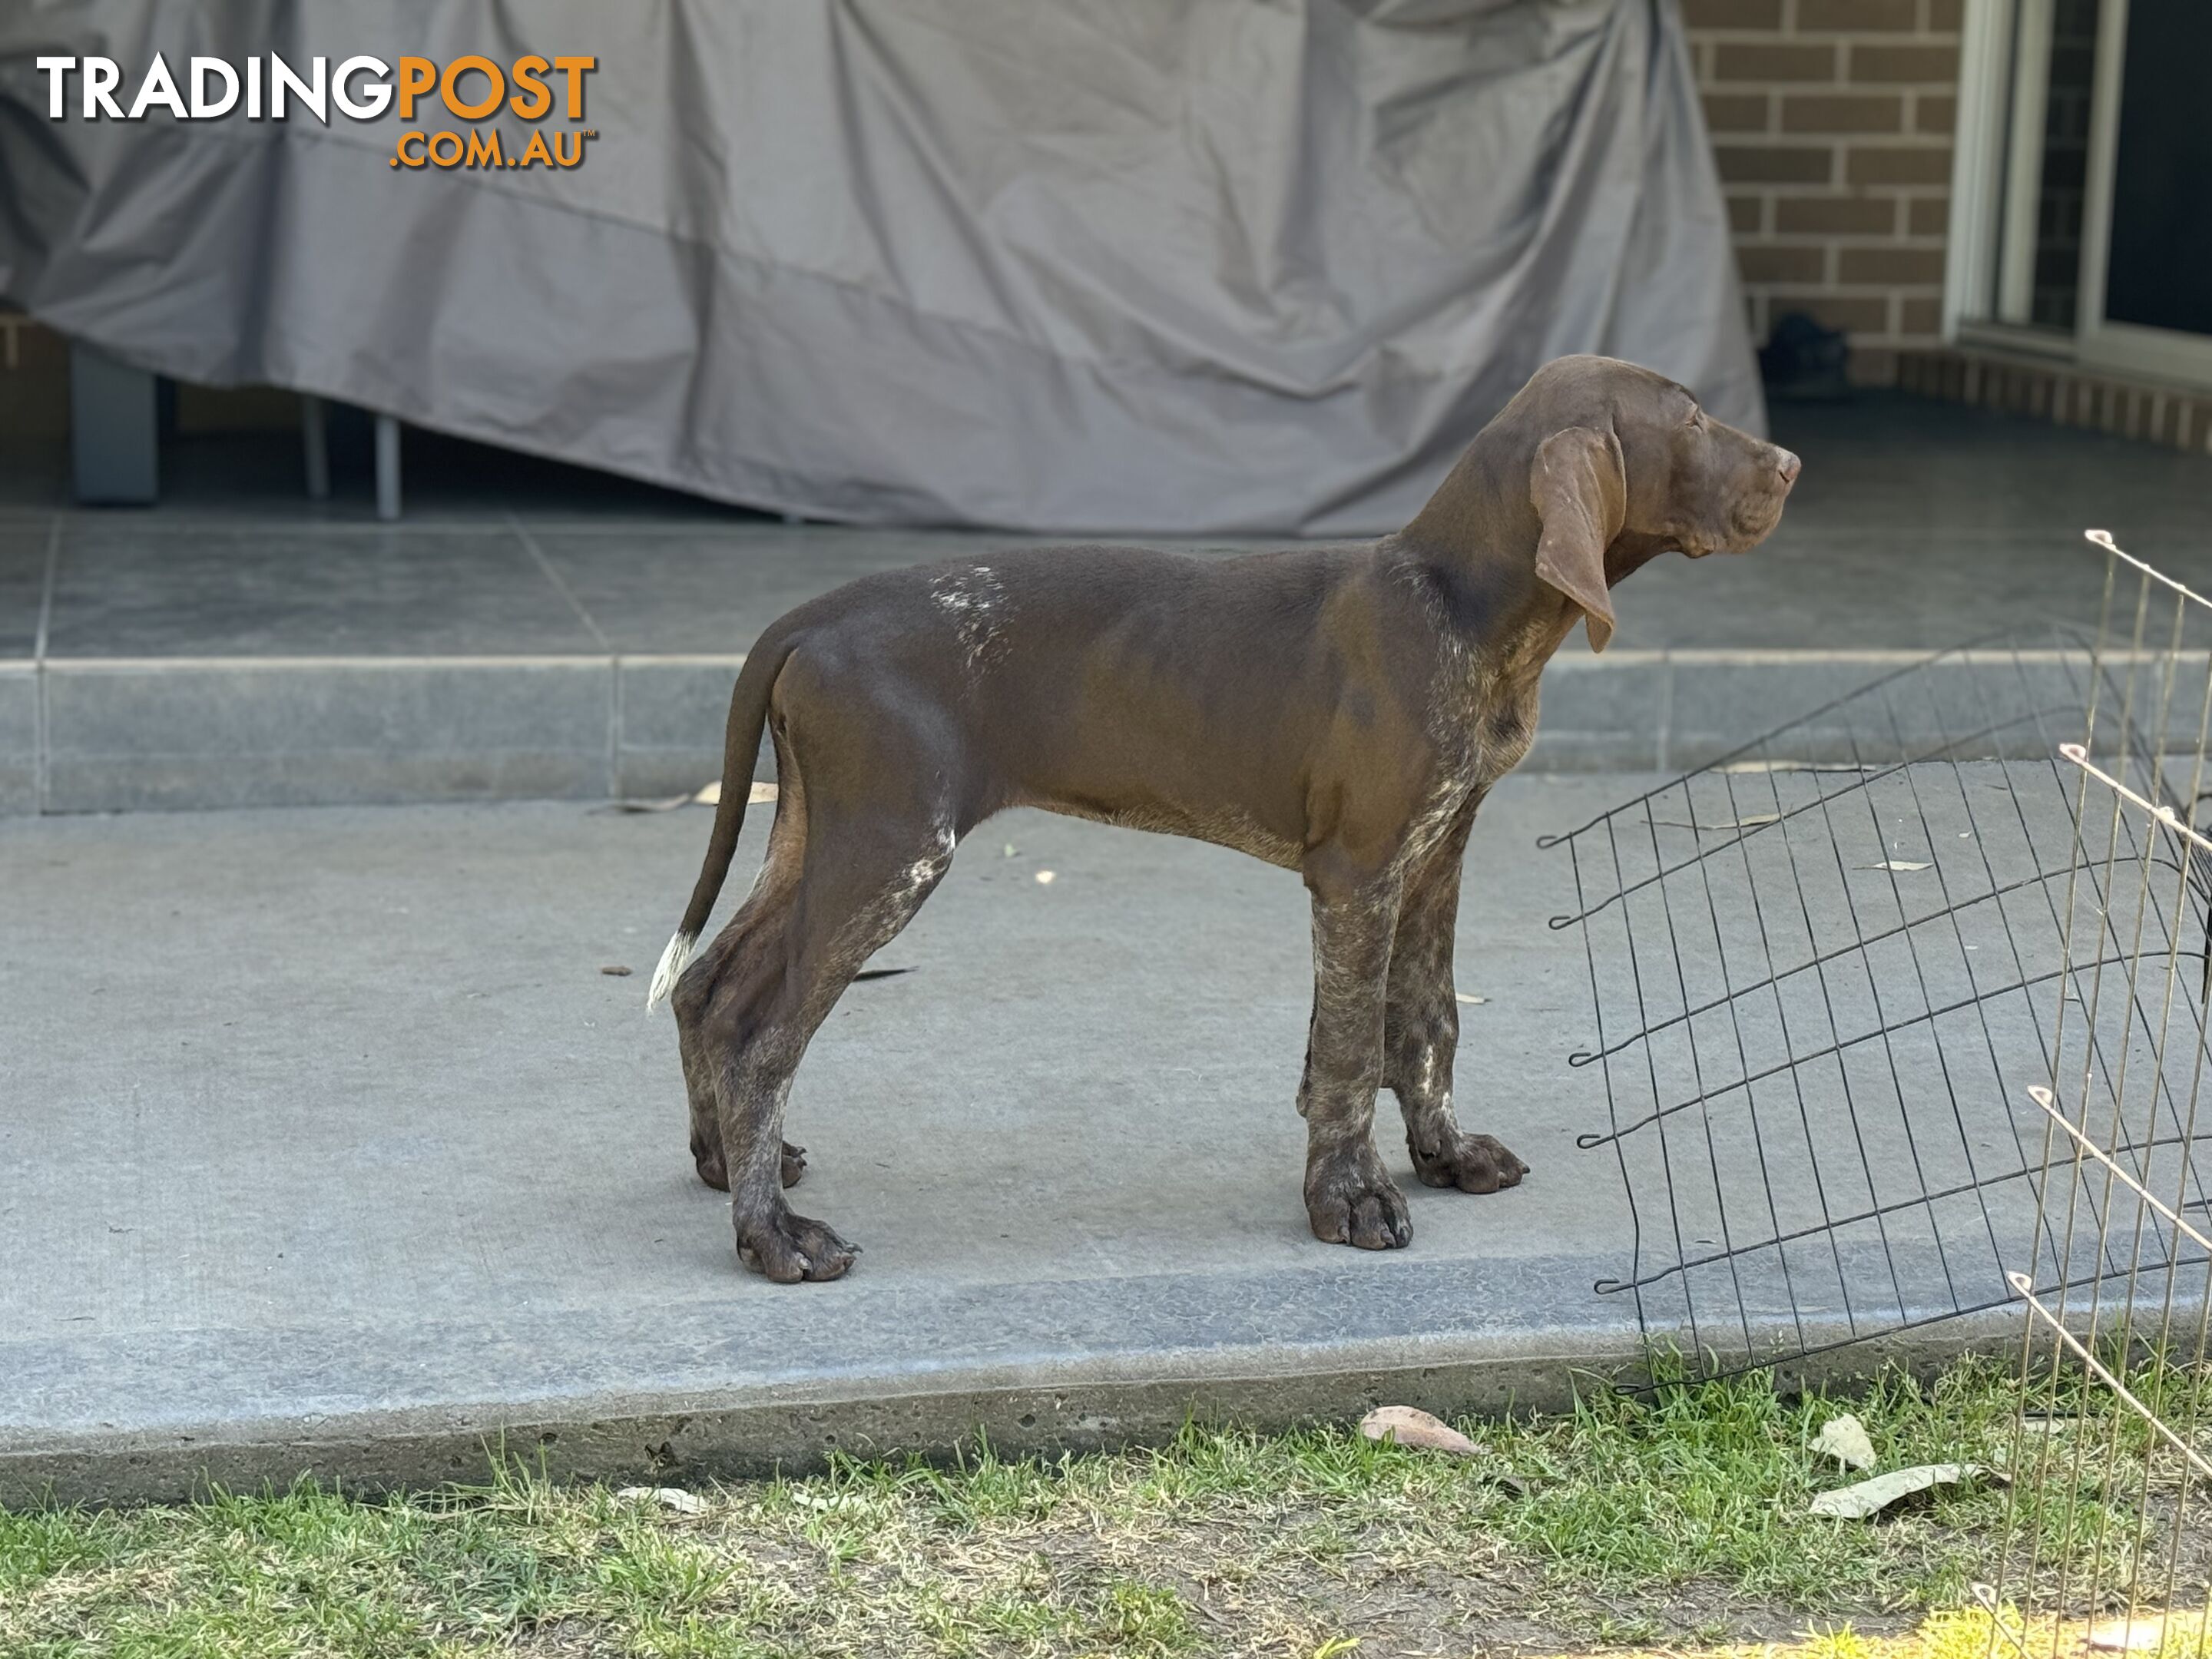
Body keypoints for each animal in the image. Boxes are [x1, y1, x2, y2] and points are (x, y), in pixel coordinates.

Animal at [645, 353, 1796, 1283]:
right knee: (765, 1039)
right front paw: (1351, 1199)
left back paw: (725, 1168)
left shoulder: (1436, 855)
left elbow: (1427, 1024)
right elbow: (1349, 1052)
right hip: (892, 853)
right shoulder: (1359, 873)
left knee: (711, 992)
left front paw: (1444, 1154)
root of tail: (812, 617)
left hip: (824, 836)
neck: (1459, 601)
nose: (1789, 464)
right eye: (1692, 421)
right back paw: (772, 1236)